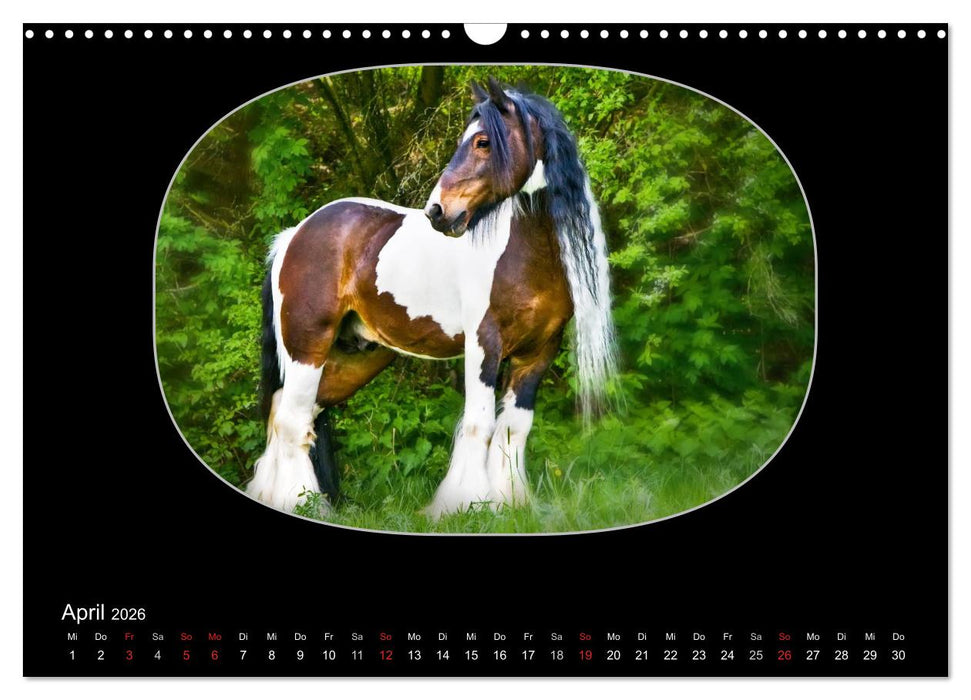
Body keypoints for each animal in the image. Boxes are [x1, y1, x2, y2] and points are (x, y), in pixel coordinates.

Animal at [246, 77, 617, 519]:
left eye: (482, 142)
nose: (438, 211)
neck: (524, 253)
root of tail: (294, 235)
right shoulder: (484, 345)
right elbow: (480, 423)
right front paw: (465, 505)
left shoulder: (538, 352)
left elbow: (515, 427)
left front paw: (511, 504)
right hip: (307, 346)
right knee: (290, 420)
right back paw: (302, 503)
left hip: (351, 358)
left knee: (291, 414)